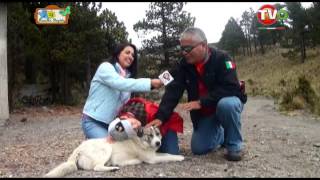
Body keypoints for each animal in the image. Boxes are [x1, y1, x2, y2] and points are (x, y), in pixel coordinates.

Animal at [45, 126, 185, 178]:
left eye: (158, 134)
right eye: (149, 135)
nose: (158, 143)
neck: (141, 141)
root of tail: (78, 149)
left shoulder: (154, 154)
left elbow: (167, 154)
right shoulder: (153, 159)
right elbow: (168, 157)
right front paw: (180, 157)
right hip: (107, 148)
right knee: (97, 167)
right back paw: (113, 168)